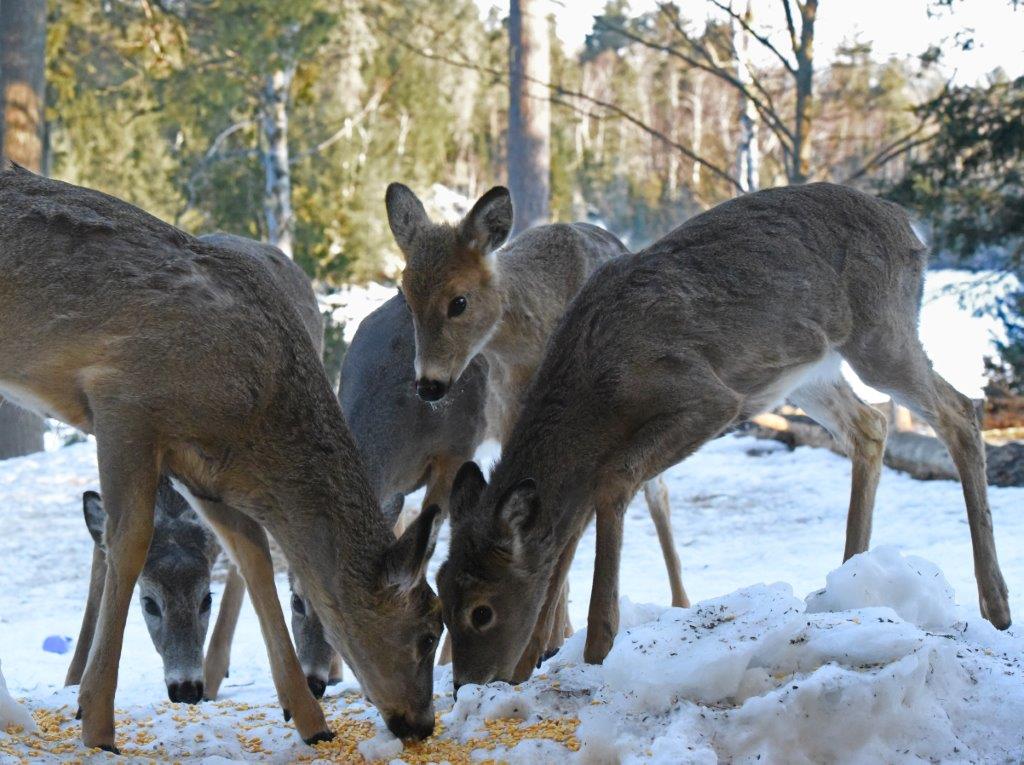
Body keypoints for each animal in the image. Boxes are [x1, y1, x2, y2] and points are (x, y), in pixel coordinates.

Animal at [0, 163, 443, 750]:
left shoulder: (203, 467)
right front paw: (96, 724)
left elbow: (251, 554)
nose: (422, 723)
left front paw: (311, 721)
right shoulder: (123, 402)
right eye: (428, 630)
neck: (254, 413)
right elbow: (129, 542)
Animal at [384, 183, 690, 658]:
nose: (429, 385)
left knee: (658, 495)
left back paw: (679, 602)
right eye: (407, 298)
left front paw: (545, 639)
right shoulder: (511, 417)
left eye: (458, 301)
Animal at [434, 182, 1012, 691]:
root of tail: (907, 226)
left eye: (482, 611)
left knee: (960, 410)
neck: (597, 388)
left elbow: (611, 484)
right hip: (806, 370)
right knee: (872, 425)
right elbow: (570, 526)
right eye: (439, 590)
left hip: (880, 333)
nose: (464, 685)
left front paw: (596, 647)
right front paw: (530, 662)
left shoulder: (708, 398)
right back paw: (847, 584)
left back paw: (996, 604)